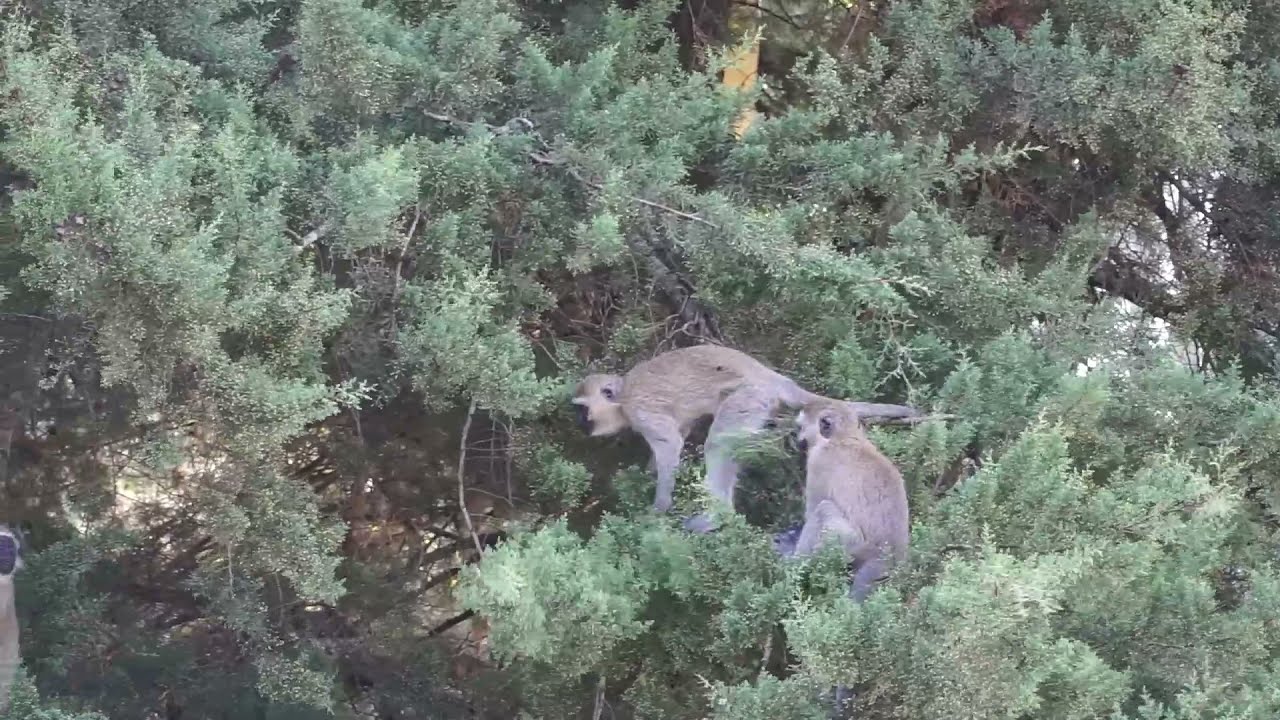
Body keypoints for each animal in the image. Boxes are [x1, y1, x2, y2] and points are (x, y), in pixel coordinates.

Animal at [572, 344, 920, 533]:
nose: (581, 426)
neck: (623, 397)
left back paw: (718, 516)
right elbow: (678, 434)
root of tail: (772, 378)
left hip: (749, 398)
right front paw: (649, 472)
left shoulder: (641, 411)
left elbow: (671, 445)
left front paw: (658, 507)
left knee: (719, 442)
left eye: (582, 410)